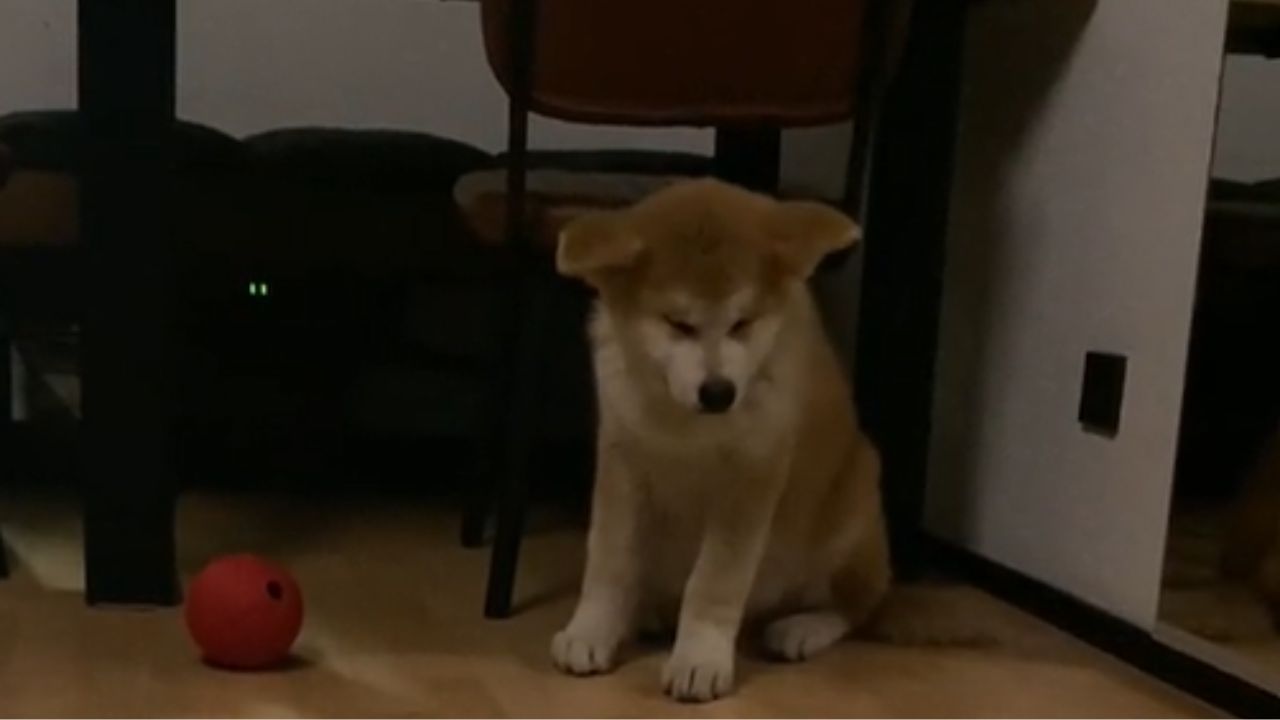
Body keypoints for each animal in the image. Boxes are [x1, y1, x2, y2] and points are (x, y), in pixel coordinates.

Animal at [550, 179, 890, 702]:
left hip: (854, 501)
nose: (718, 392)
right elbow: (609, 559)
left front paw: (699, 658)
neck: (686, 427)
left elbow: (714, 582)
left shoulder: (750, 475)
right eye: (678, 323)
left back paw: (802, 627)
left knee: (858, 606)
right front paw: (592, 631)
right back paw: (646, 611)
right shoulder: (622, 461)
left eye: (742, 323)